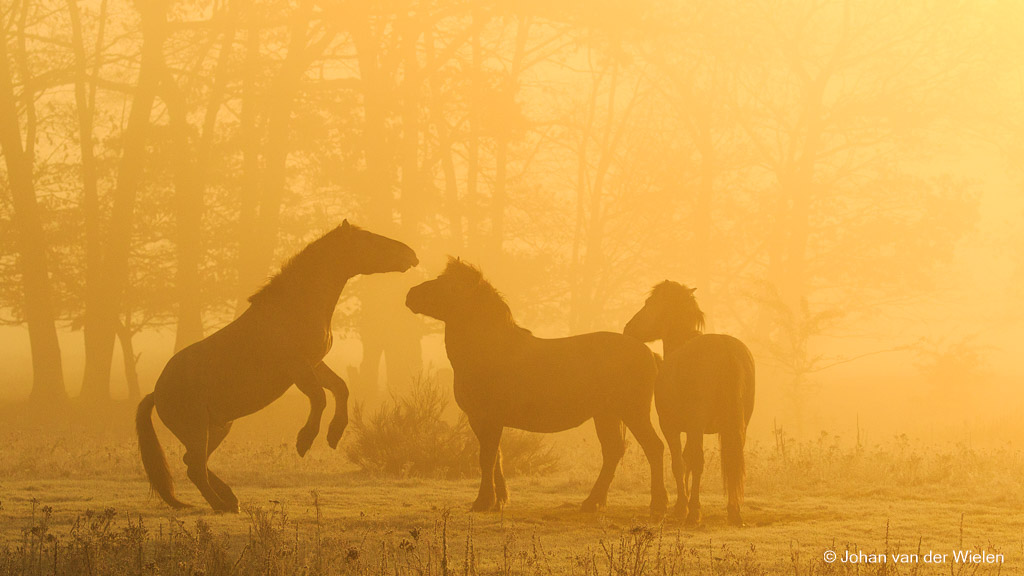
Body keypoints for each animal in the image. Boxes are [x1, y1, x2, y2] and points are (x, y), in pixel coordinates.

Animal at [136, 220, 415, 510]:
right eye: (369, 239)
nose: (411, 254)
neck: (295, 307)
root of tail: (156, 393)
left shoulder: (315, 364)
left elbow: (340, 388)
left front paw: (334, 433)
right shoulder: (298, 368)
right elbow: (319, 397)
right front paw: (305, 440)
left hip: (218, 427)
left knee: (193, 462)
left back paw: (229, 499)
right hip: (197, 429)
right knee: (195, 468)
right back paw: (221, 505)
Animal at [403, 258, 667, 512]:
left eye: (451, 286)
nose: (410, 295)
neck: (490, 350)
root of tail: (648, 352)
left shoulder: (486, 418)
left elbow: (486, 458)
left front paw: (483, 502)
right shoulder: (482, 420)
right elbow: (496, 457)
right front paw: (500, 500)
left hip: (632, 412)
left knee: (653, 448)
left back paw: (658, 503)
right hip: (607, 414)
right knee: (613, 452)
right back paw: (592, 502)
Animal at [618, 282, 757, 524]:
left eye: (649, 303)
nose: (629, 328)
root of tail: (724, 346)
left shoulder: (673, 428)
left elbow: (680, 463)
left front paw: (682, 507)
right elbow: (687, 461)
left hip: (696, 425)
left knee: (699, 462)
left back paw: (694, 512)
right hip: (738, 427)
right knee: (732, 461)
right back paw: (734, 512)